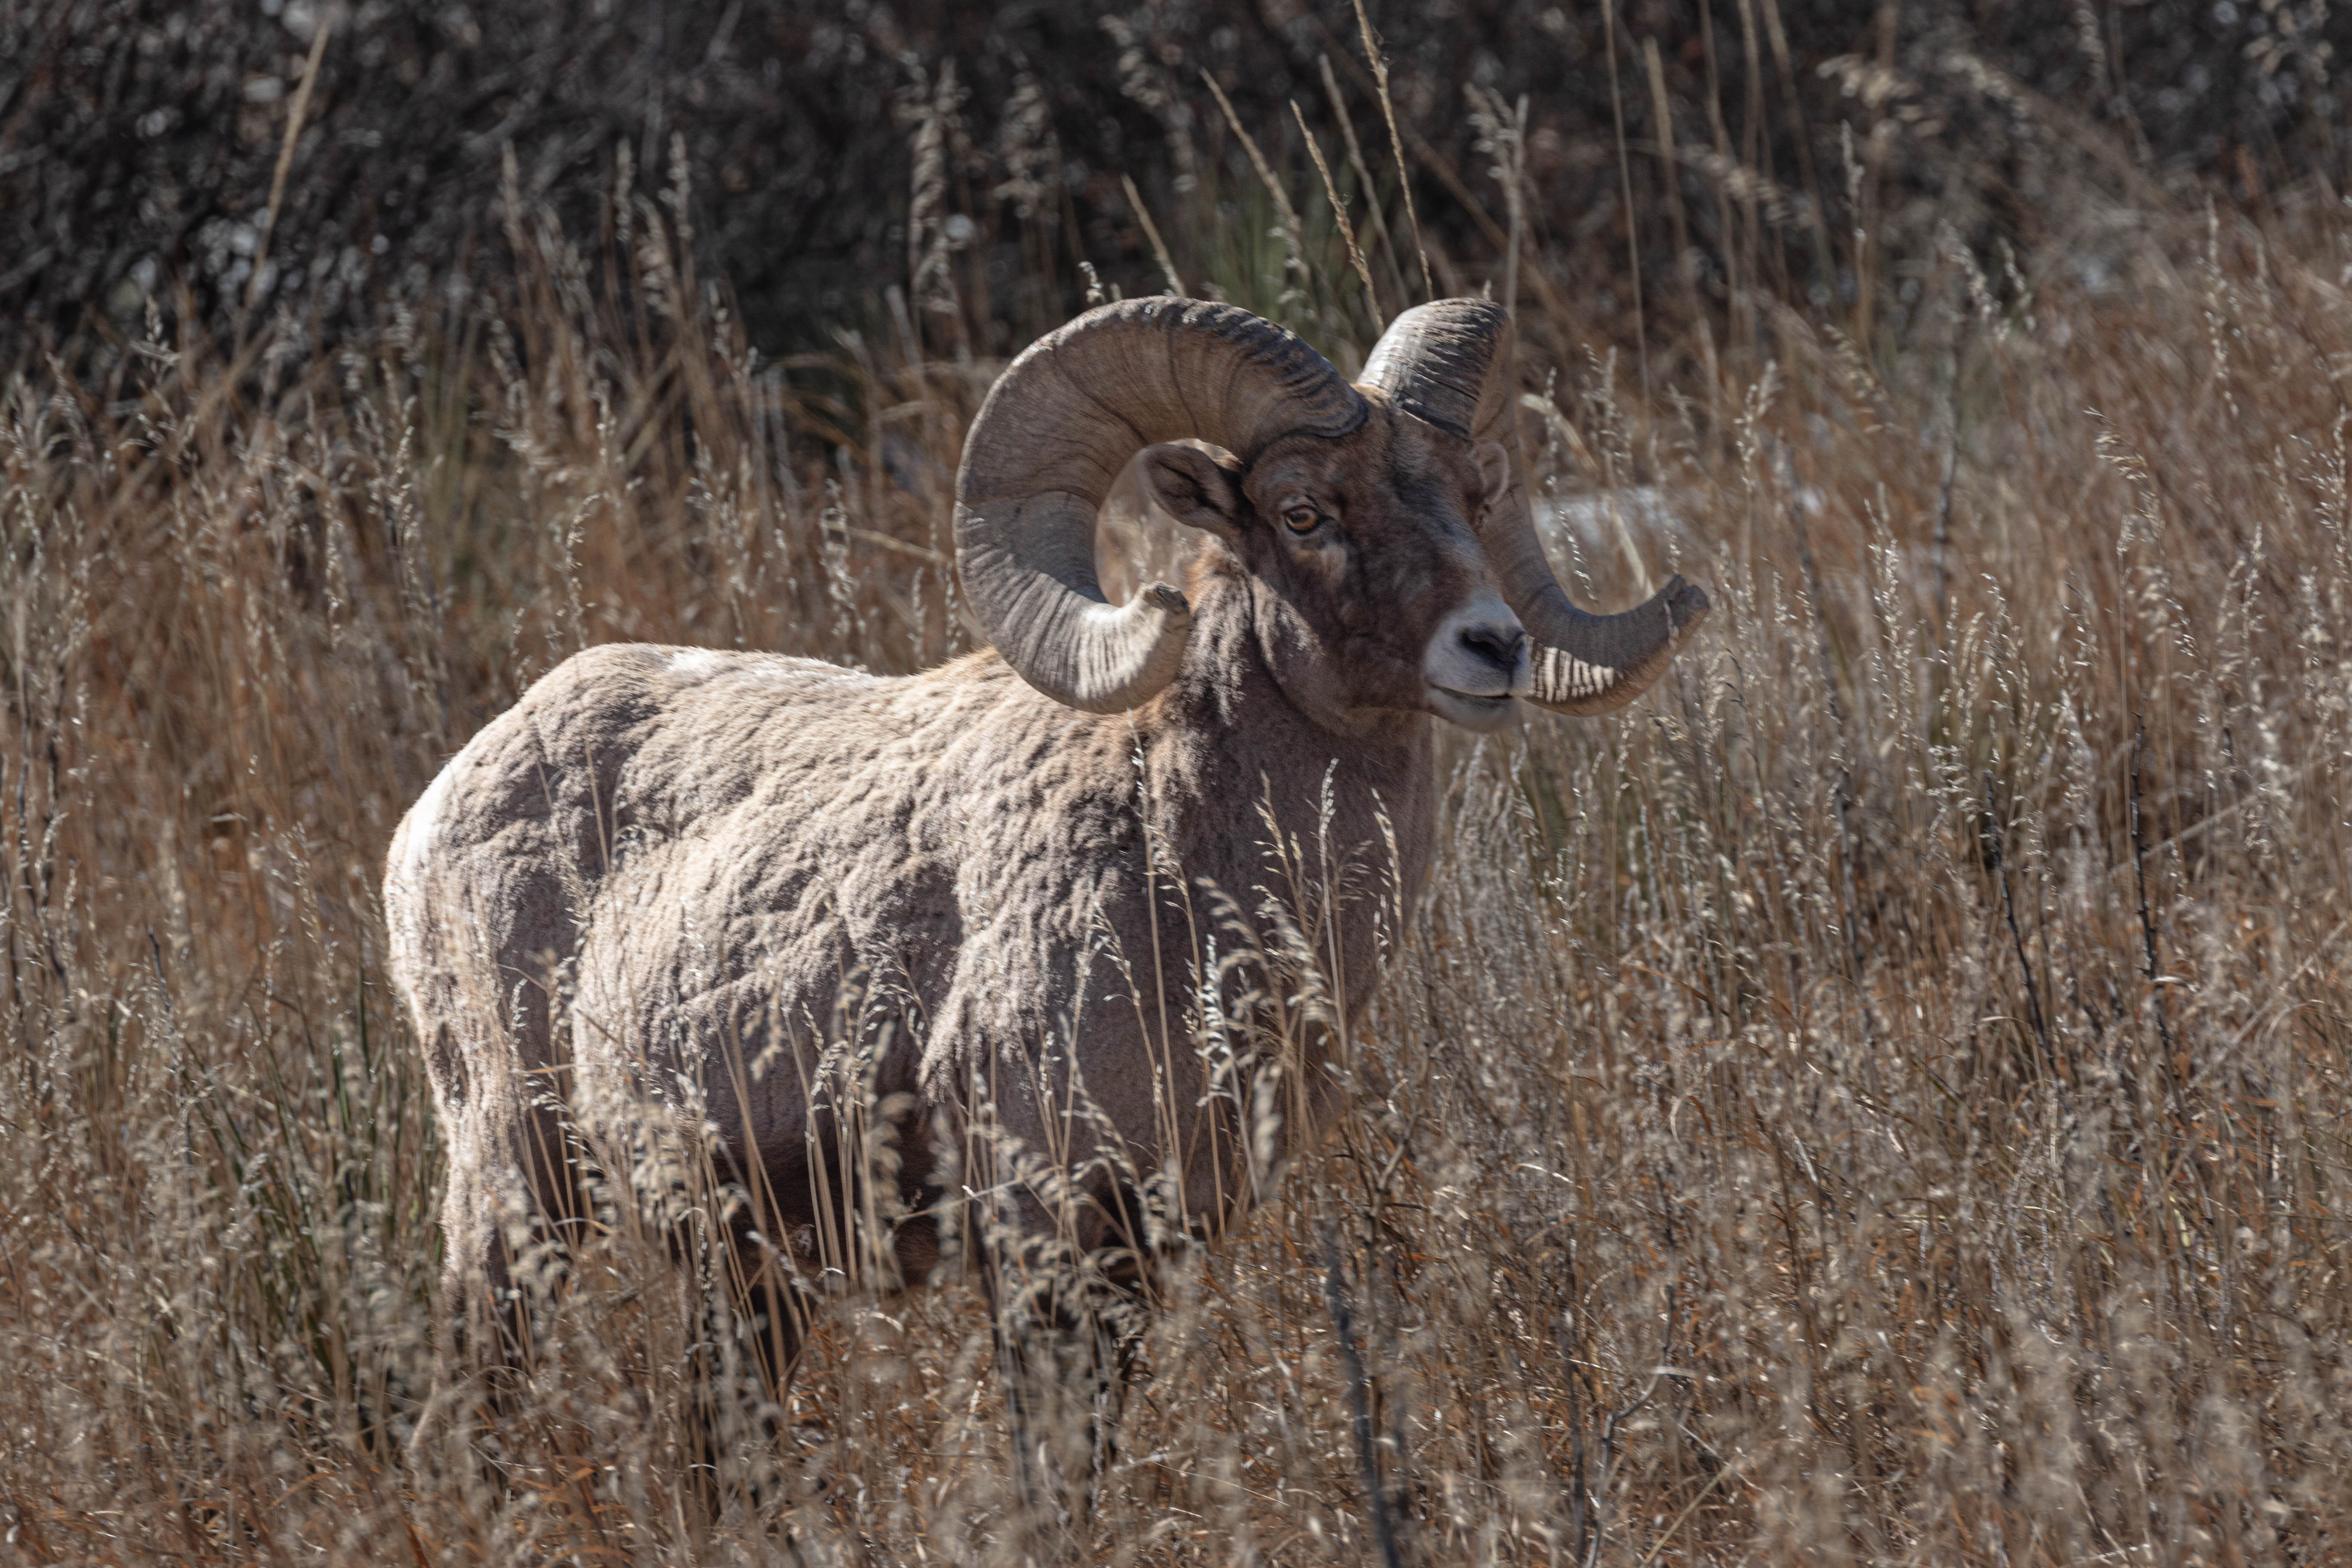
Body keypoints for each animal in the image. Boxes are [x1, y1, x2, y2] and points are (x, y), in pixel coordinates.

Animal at [383, 296, 1707, 1513]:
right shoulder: (1043, 1240)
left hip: (745, 1275)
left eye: (1473, 497)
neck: (1186, 881)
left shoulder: (1144, 1253)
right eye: (1303, 512)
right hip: (515, 1186)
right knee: (464, 1421)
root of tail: (441, 801)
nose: (1492, 648)